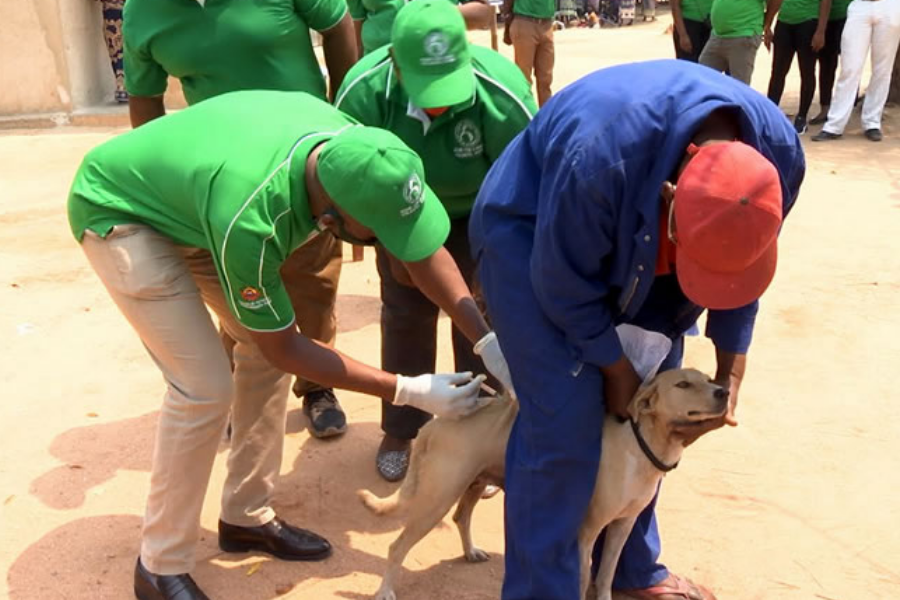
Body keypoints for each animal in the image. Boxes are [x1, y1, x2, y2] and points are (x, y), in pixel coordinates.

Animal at [356, 368, 728, 596]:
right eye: (683, 385)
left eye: (708, 378)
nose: (724, 391)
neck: (638, 444)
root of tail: (436, 422)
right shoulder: (585, 531)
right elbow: (582, 577)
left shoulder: (623, 525)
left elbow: (606, 576)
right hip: (438, 497)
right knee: (397, 546)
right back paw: (386, 591)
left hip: (472, 482)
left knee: (461, 517)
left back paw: (471, 551)